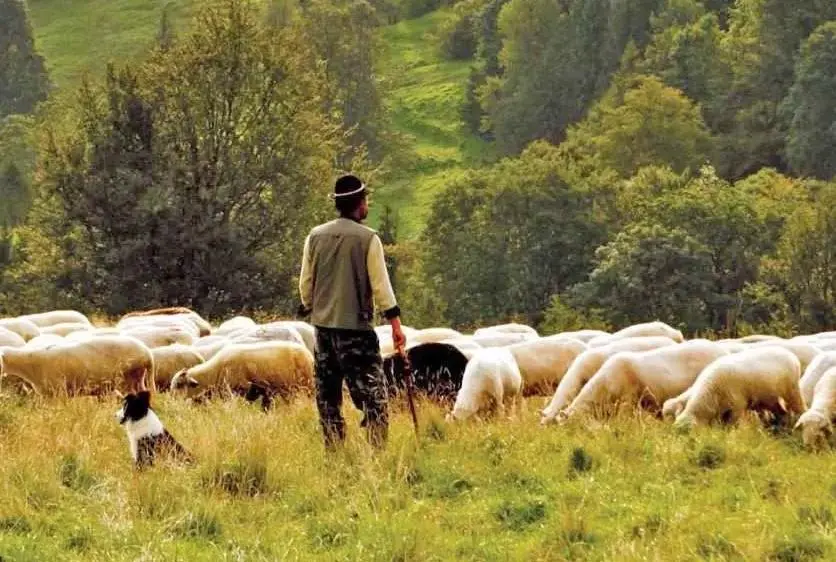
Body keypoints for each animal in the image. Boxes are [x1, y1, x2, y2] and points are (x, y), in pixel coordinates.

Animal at [672, 344, 804, 426]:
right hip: (770, 398)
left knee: (799, 407)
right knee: (781, 413)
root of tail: (790, 354)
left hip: (792, 390)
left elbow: (732, 425)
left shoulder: (737, 404)